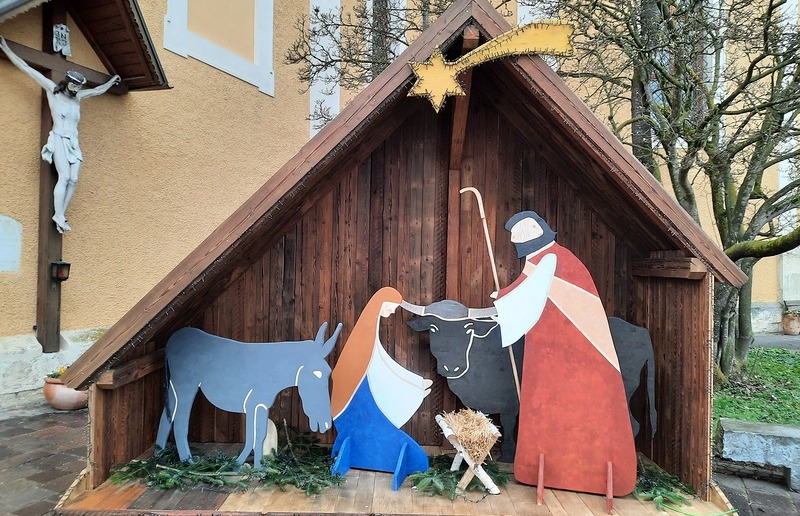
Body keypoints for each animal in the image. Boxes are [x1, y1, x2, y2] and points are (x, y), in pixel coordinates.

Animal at [155, 322, 342, 466]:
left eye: (329, 372)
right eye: (317, 373)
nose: (326, 424)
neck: (277, 368)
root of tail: (171, 341)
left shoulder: (260, 404)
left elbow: (258, 436)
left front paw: (253, 466)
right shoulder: (254, 403)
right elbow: (254, 436)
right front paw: (247, 466)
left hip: (174, 387)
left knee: (166, 419)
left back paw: (159, 457)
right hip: (186, 386)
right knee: (180, 423)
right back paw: (189, 463)